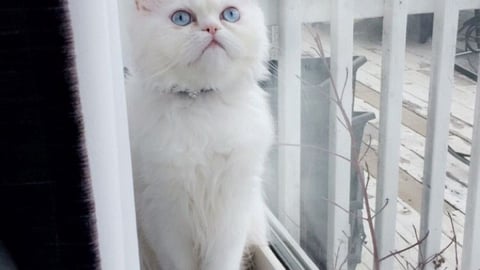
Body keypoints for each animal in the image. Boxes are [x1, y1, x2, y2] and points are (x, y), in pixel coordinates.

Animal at [124, 1, 274, 268]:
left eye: (230, 14)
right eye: (181, 18)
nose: (212, 28)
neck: (202, 103)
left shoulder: (232, 211)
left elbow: (223, 261)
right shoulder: (164, 216)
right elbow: (180, 262)